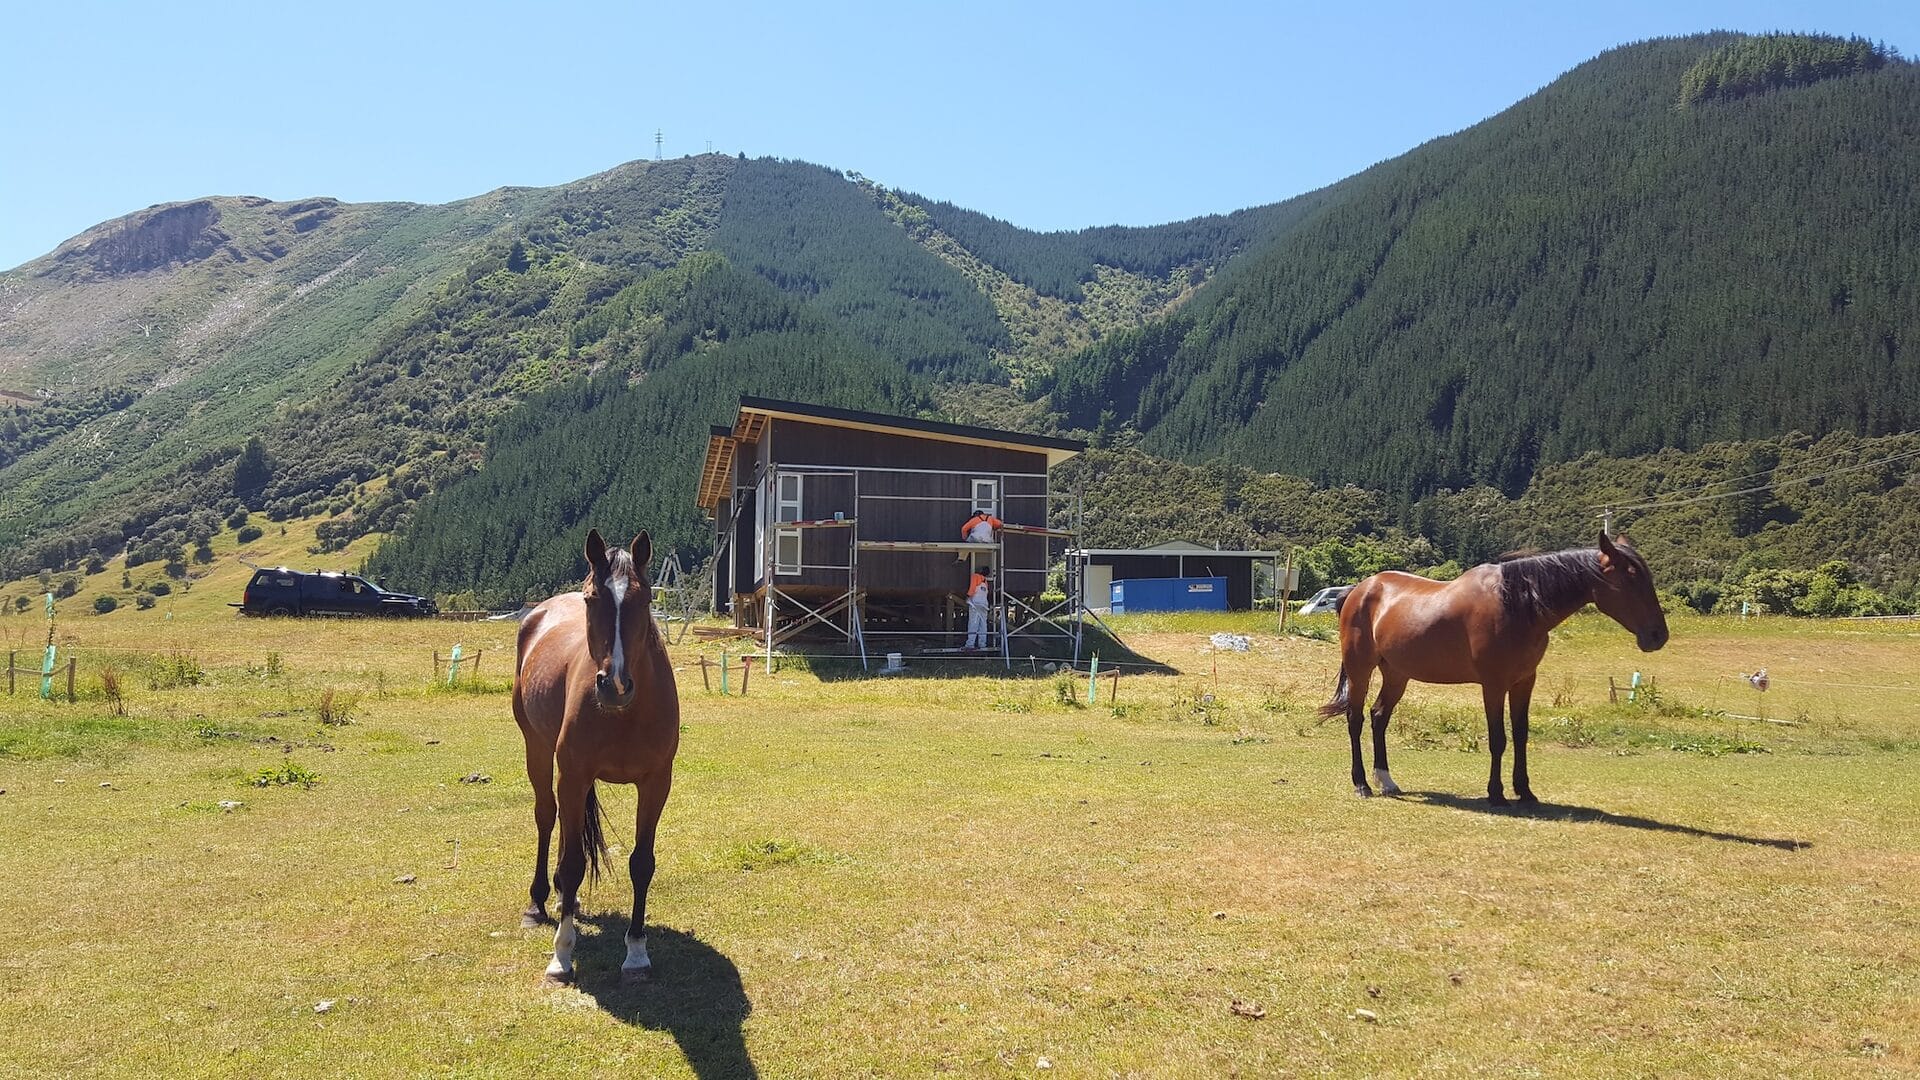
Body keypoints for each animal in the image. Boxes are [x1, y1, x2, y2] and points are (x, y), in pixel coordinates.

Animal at [512, 529, 680, 984]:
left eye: (644, 599)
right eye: (591, 600)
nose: (615, 684)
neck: (626, 713)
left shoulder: (656, 783)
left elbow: (642, 863)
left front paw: (636, 953)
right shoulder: (573, 775)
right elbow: (572, 863)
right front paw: (562, 956)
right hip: (537, 749)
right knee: (547, 817)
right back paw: (538, 902)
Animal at [1319, 533, 1668, 805]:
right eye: (1631, 577)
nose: (1658, 635)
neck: (1517, 604)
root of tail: (1358, 590)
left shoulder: (1524, 681)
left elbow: (1521, 734)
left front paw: (1525, 791)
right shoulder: (1494, 684)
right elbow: (1498, 738)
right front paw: (1496, 793)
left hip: (1396, 673)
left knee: (1379, 717)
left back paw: (1387, 781)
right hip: (1361, 669)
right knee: (1355, 719)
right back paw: (1362, 784)